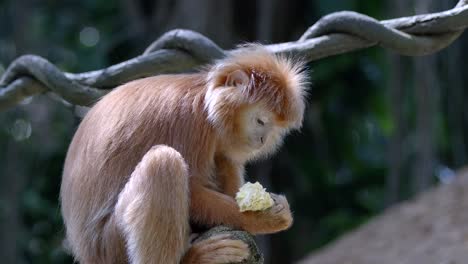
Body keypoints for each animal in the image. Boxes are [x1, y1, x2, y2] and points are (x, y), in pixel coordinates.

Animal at [60, 44, 308, 262]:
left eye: (273, 128)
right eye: (261, 121)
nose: (262, 139)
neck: (204, 102)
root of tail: (87, 255)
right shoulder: (189, 121)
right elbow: (194, 189)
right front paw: (263, 218)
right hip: (111, 246)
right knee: (163, 163)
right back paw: (194, 257)